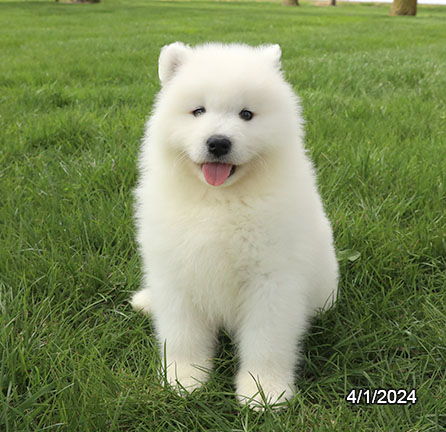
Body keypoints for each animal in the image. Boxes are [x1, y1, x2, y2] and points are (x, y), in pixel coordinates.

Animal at [131, 41, 340, 408]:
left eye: (246, 114)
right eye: (198, 111)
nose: (218, 142)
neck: (219, 201)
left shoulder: (271, 281)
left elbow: (266, 342)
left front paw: (264, 392)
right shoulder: (177, 274)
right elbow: (182, 336)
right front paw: (183, 379)